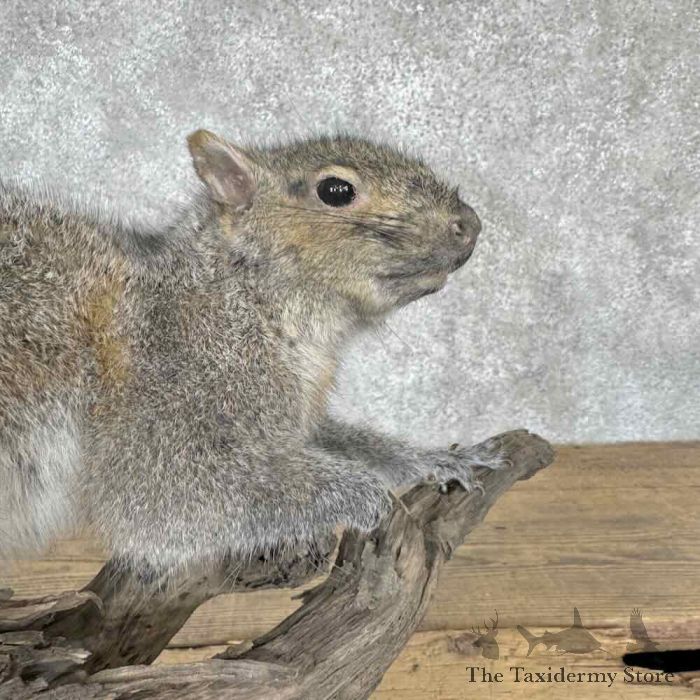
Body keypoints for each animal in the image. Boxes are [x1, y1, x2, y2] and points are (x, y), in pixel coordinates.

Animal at [0, 129, 504, 574]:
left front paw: (436, 459)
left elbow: (348, 443)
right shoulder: (165, 406)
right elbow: (165, 503)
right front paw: (367, 495)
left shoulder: (290, 422)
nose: (470, 224)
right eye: (336, 190)